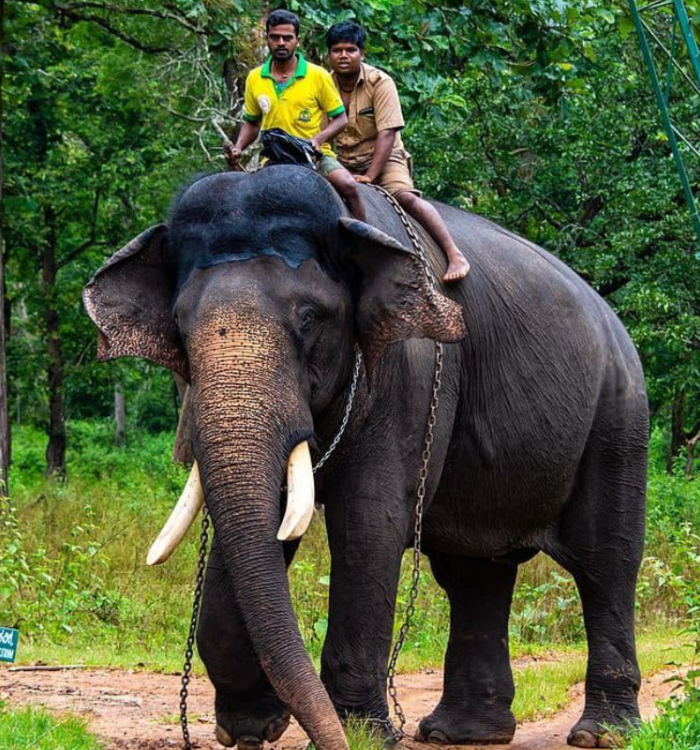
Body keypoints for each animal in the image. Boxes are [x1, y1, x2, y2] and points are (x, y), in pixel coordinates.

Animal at [83, 165, 648, 750]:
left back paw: (602, 734)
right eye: (179, 327)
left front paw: (361, 734)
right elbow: (263, 527)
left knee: (605, 561)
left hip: (617, 418)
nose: (323, 734)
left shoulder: (410, 368)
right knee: (473, 571)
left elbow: (368, 522)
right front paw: (249, 730)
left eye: (309, 317)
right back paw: (459, 733)